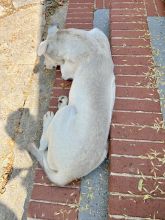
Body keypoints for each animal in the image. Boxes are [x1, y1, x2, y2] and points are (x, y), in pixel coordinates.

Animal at [27, 26, 115, 186]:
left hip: (67, 113)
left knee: (42, 145)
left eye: (46, 57)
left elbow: (63, 69)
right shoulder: (98, 33)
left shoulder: (66, 70)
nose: (45, 66)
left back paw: (51, 115)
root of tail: (66, 175)